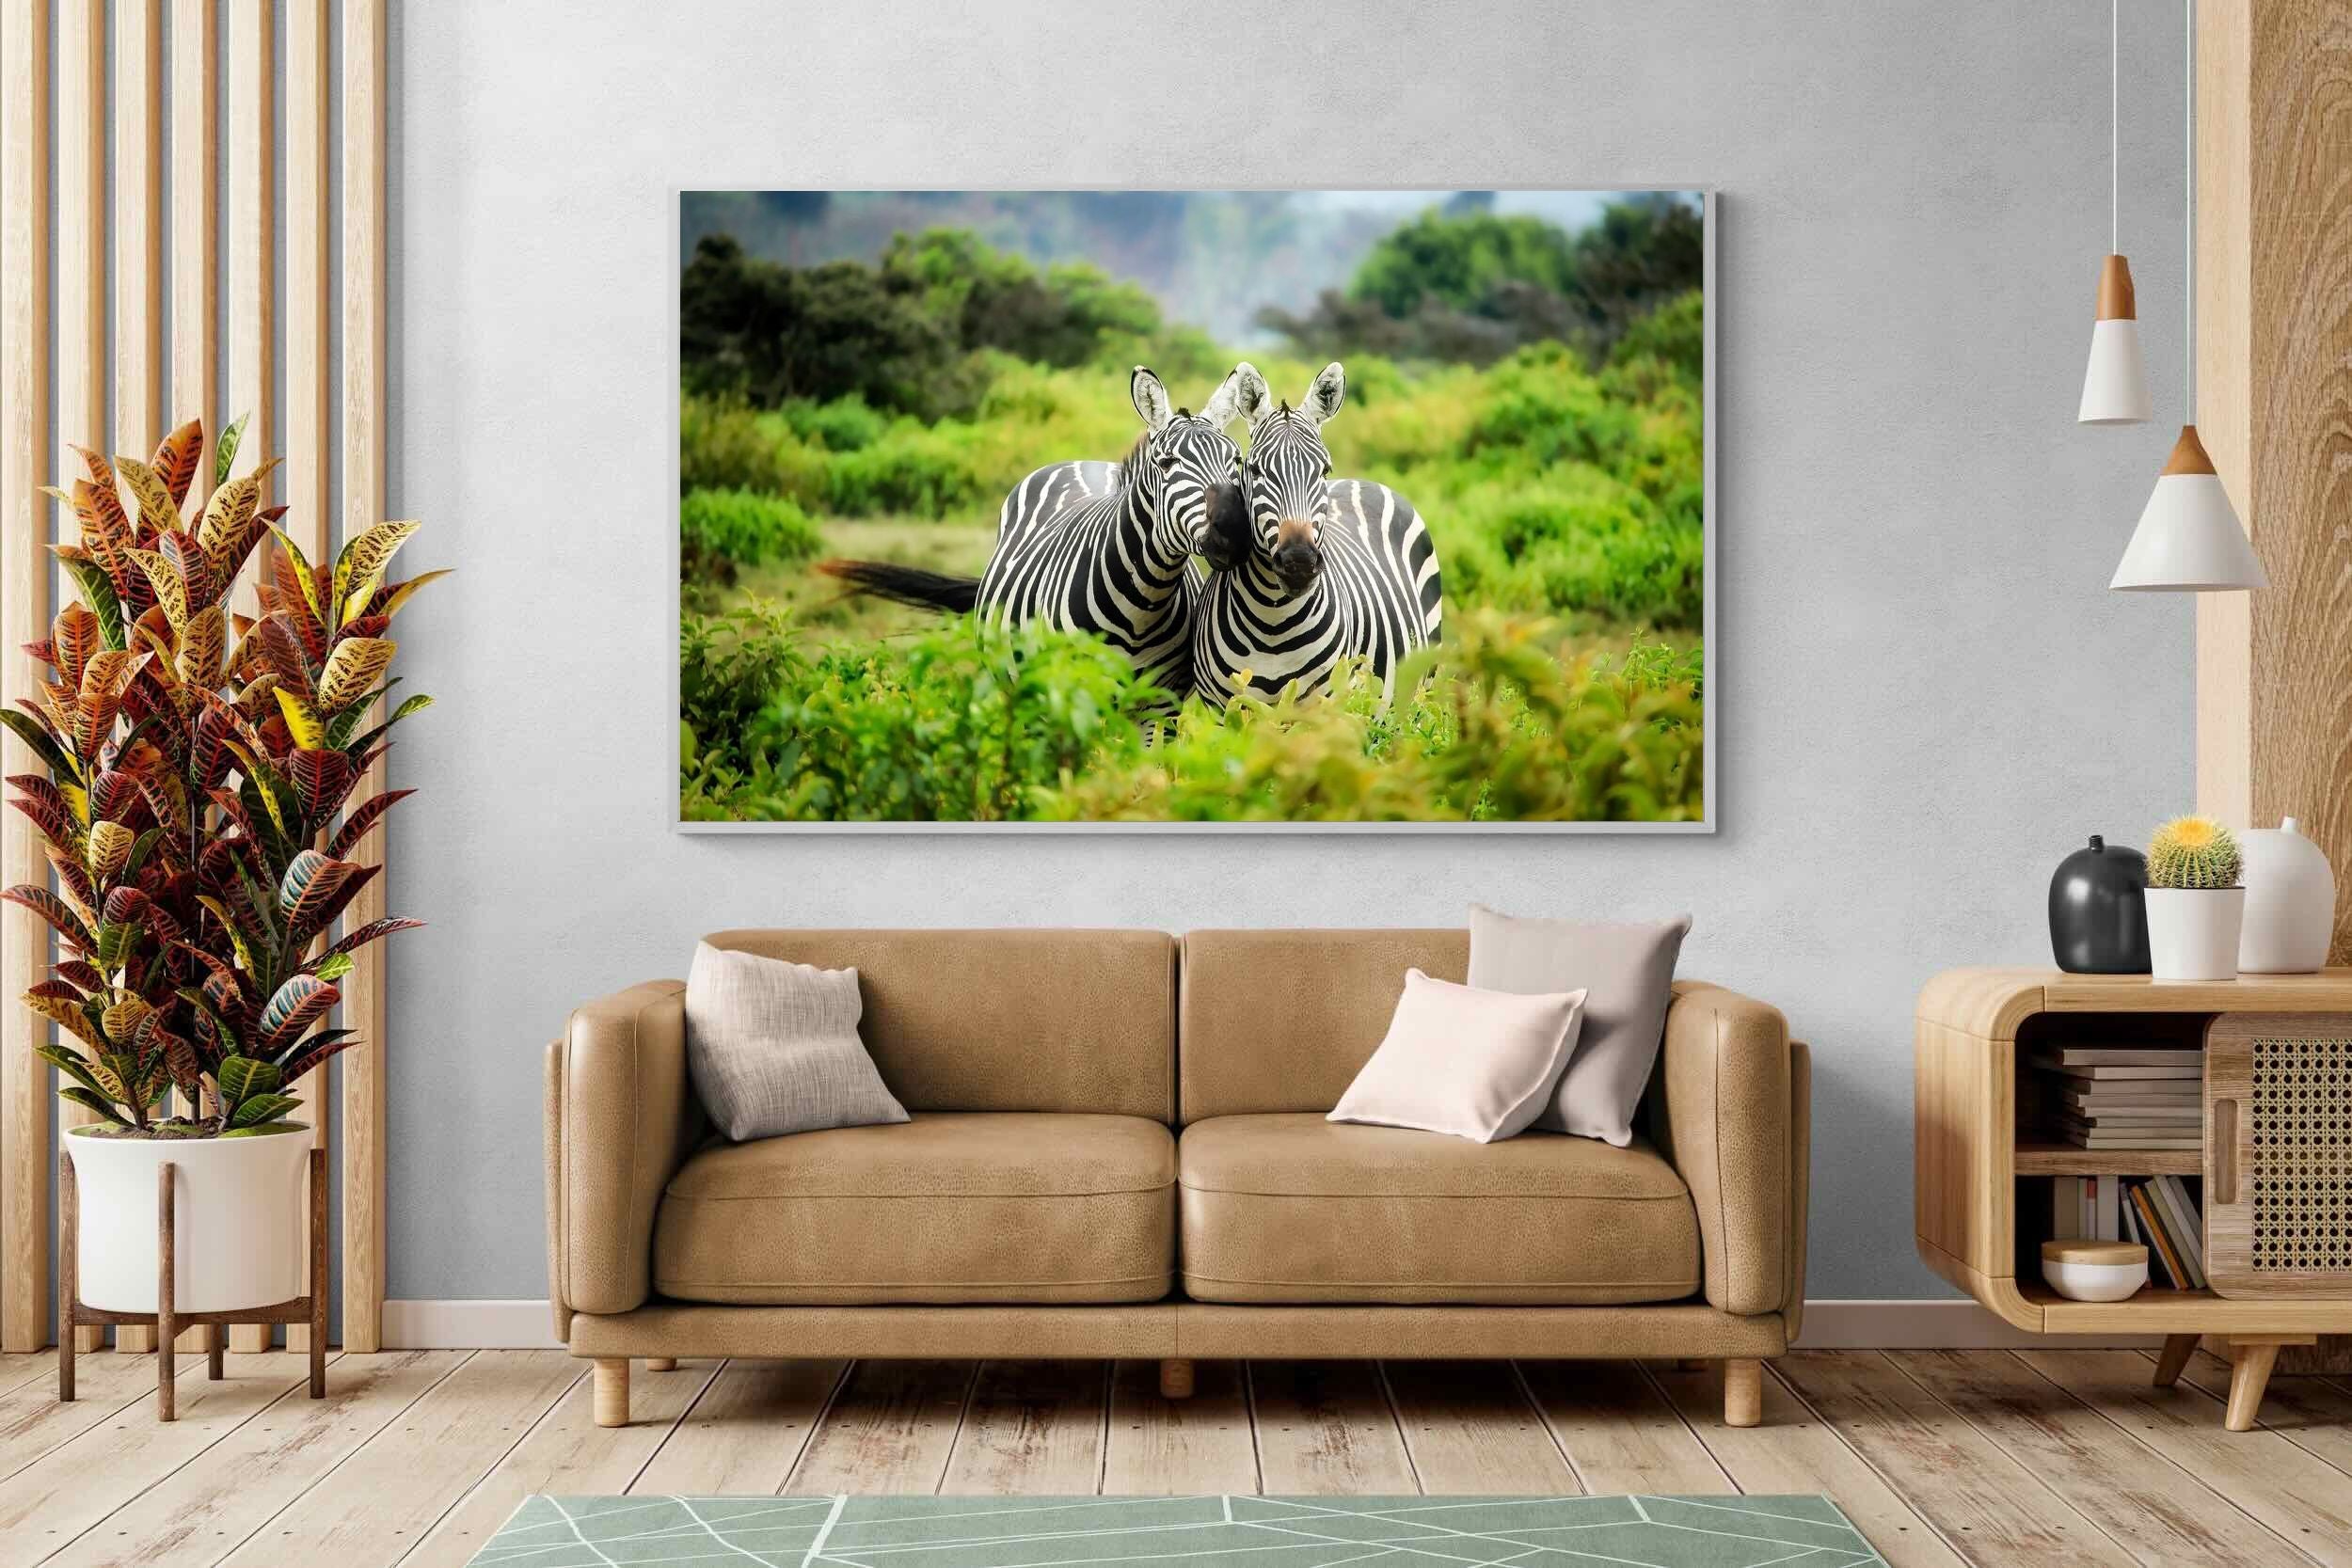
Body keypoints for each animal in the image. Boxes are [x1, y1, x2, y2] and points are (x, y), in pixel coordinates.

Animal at [818, 366, 1248, 699]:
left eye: (1236, 460)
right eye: (1167, 462)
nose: (1233, 530)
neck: (1142, 604)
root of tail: (1083, 461)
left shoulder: (1159, 704)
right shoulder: (1072, 692)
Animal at [1189, 362, 1443, 706]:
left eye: (1324, 470)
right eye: (1254, 470)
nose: (1298, 562)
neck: (1272, 623)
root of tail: (1363, 481)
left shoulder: (1323, 705)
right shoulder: (1223, 708)